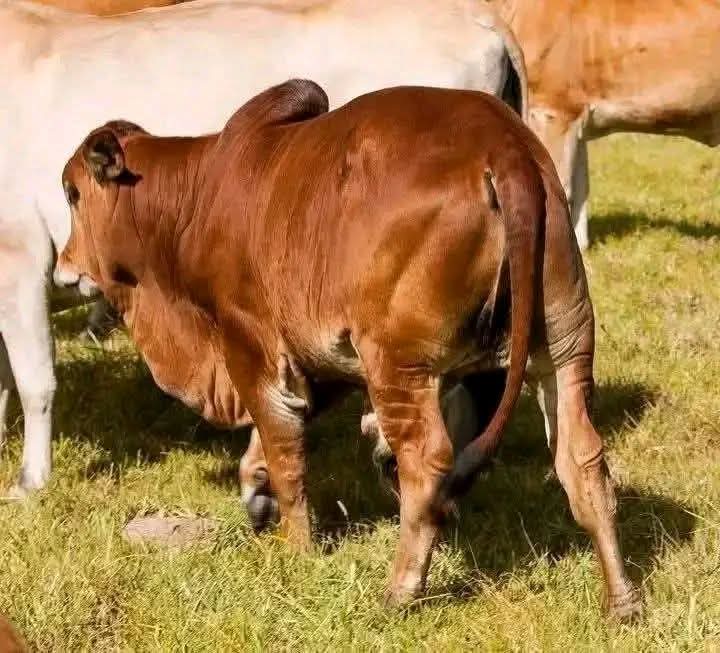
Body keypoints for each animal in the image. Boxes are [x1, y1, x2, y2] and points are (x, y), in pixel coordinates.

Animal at [55, 79, 642, 619]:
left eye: (72, 193)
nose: (63, 269)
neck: (194, 198)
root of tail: (506, 149)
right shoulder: (323, 358)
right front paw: (255, 488)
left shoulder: (249, 344)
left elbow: (286, 453)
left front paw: (297, 550)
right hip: (565, 347)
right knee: (583, 460)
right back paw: (622, 601)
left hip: (399, 362)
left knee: (427, 463)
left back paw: (400, 590)